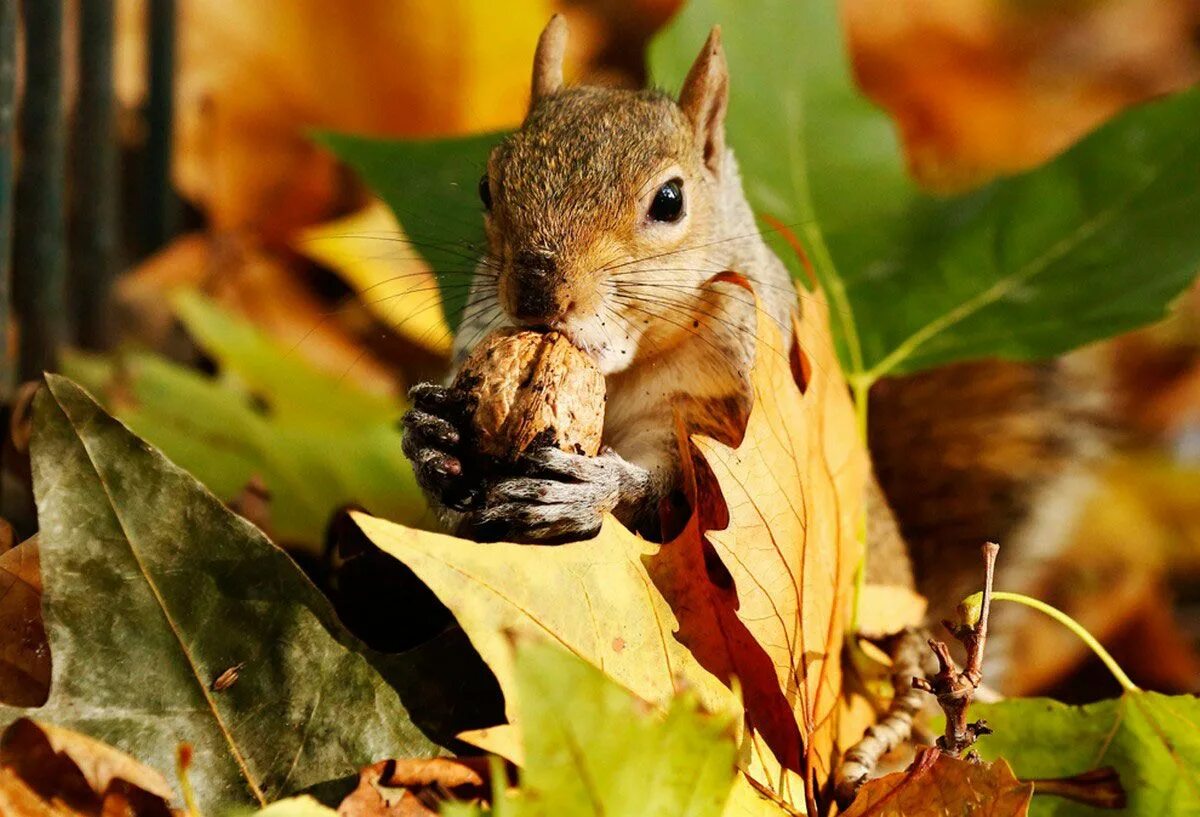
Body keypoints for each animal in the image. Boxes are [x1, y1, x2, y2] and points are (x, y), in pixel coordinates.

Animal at [400, 15, 1104, 609]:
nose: (537, 294)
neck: (623, 369)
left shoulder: (729, 410)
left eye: (670, 200)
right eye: (488, 185)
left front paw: (590, 490)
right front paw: (430, 437)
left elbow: (691, 505)